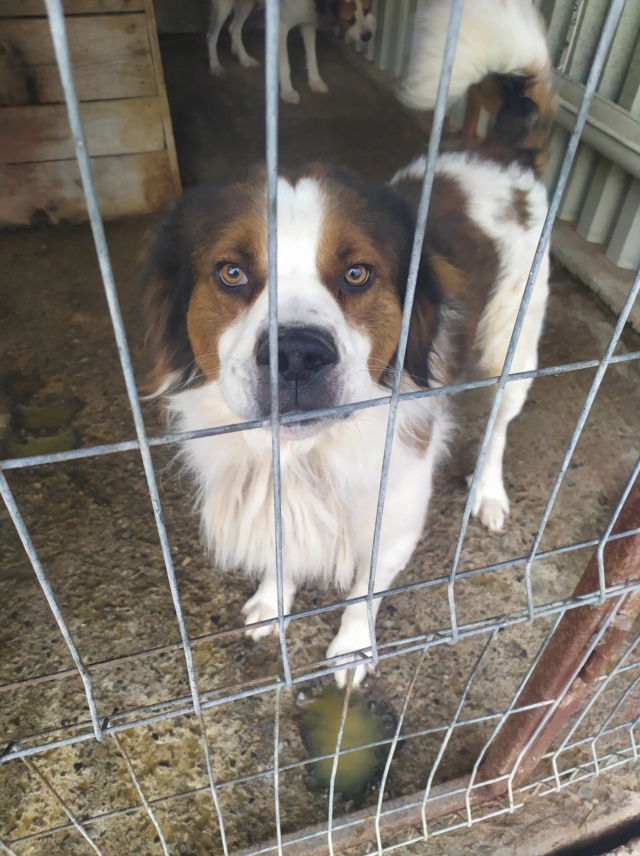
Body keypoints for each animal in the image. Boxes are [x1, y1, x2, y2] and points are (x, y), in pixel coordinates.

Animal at [208, 0, 376, 103]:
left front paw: (315, 81)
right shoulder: (281, 27)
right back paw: (215, 66)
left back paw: (245, 59)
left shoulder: (308, 23)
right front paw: (287, 91)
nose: (368, 36)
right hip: (223, 8)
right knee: (211, 36)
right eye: (350, 19)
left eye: (367, 10)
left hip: (246, 4)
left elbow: (312, 57)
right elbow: (285, 65)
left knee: (234, 28)